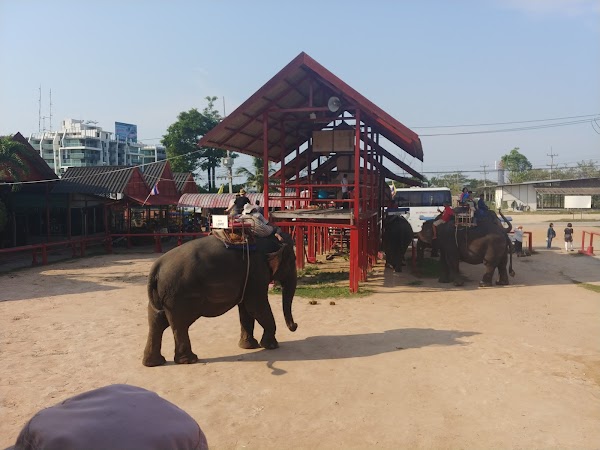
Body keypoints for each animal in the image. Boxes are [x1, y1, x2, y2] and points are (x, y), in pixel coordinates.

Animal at [142, 233, 298, 367]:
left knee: (156, 322)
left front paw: (248, 346)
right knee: (179, 325)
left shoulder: (248, 278)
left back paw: (154, 363)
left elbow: (246, 309)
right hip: (178, 295)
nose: (295, 326)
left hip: (163, 296)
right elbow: (256, 306)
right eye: (293, 261)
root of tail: (157, 266)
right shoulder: (257, 272)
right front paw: (271, 346)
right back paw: (189, 360)